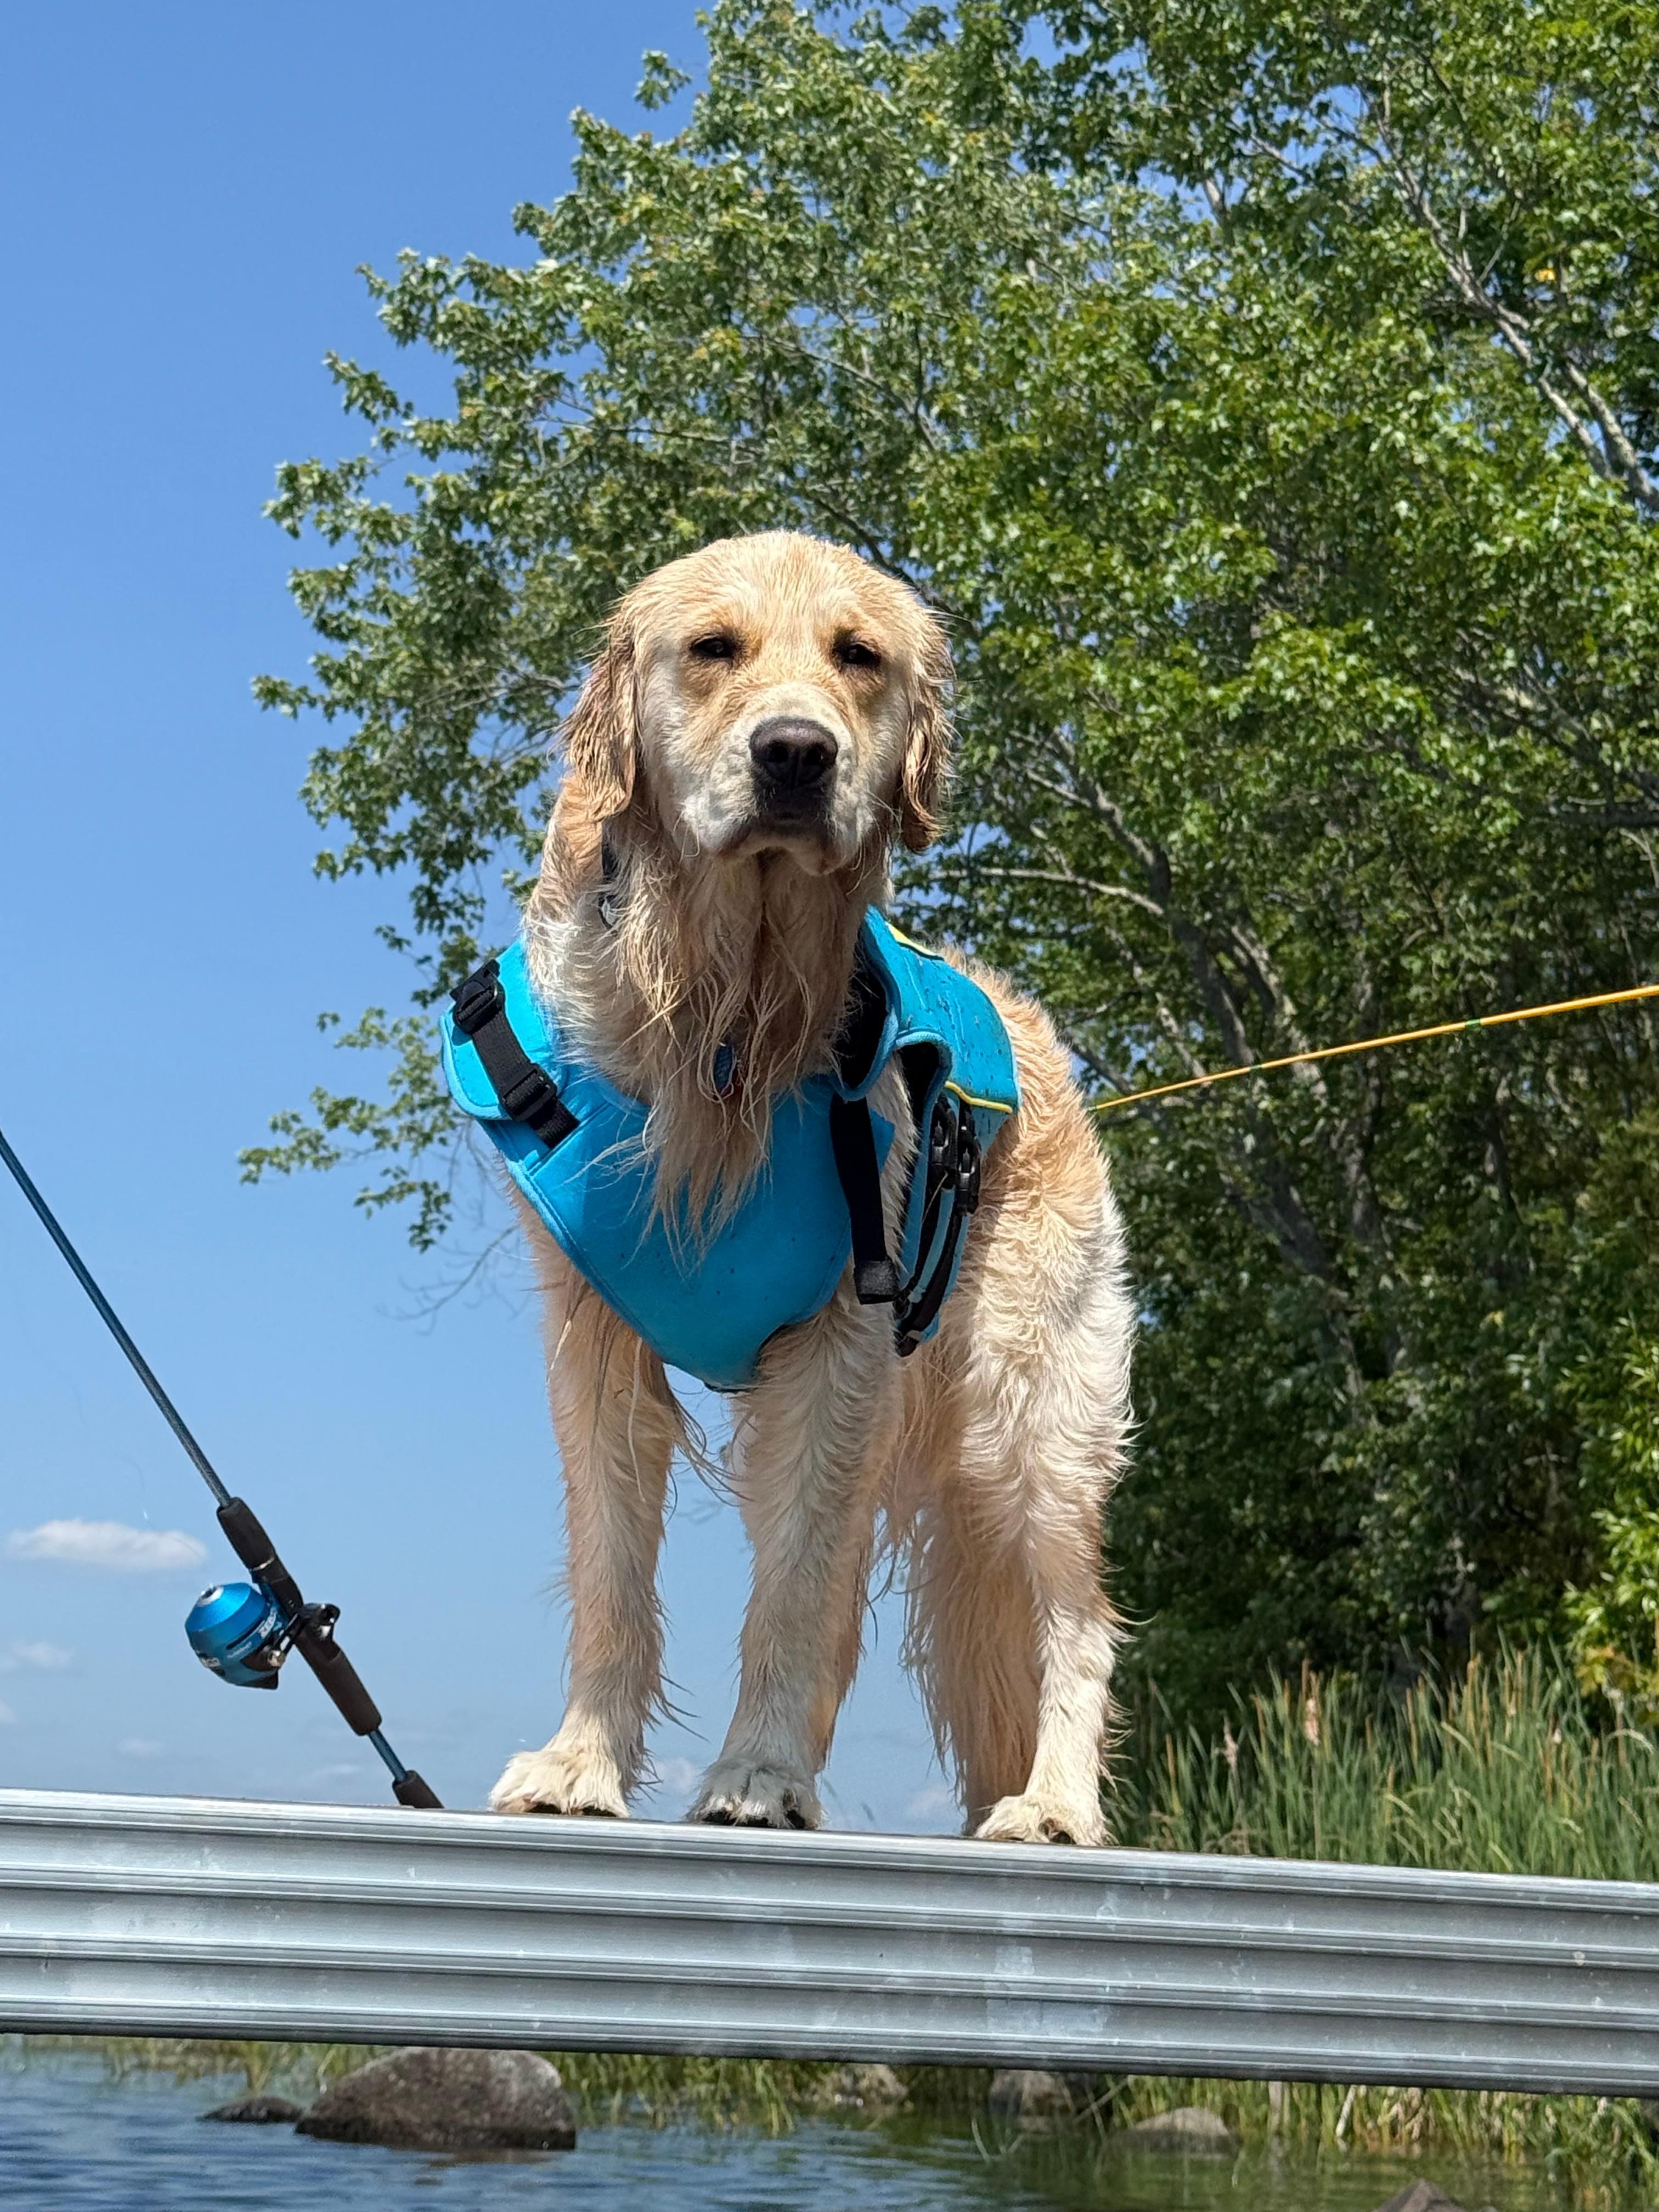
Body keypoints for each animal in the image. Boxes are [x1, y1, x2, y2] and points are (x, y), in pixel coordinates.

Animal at [486, 530, 1133, 1844]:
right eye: (711, 648)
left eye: (859, 656)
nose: (795, 752)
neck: (726, 1010)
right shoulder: (595, 1341)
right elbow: (612, 1574)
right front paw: (578, 1764)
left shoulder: (840, 1339)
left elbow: (790, 1592)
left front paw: (759, 1772)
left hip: (1026, 1409)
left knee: (1073, 1619)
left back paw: (1050, 1801)